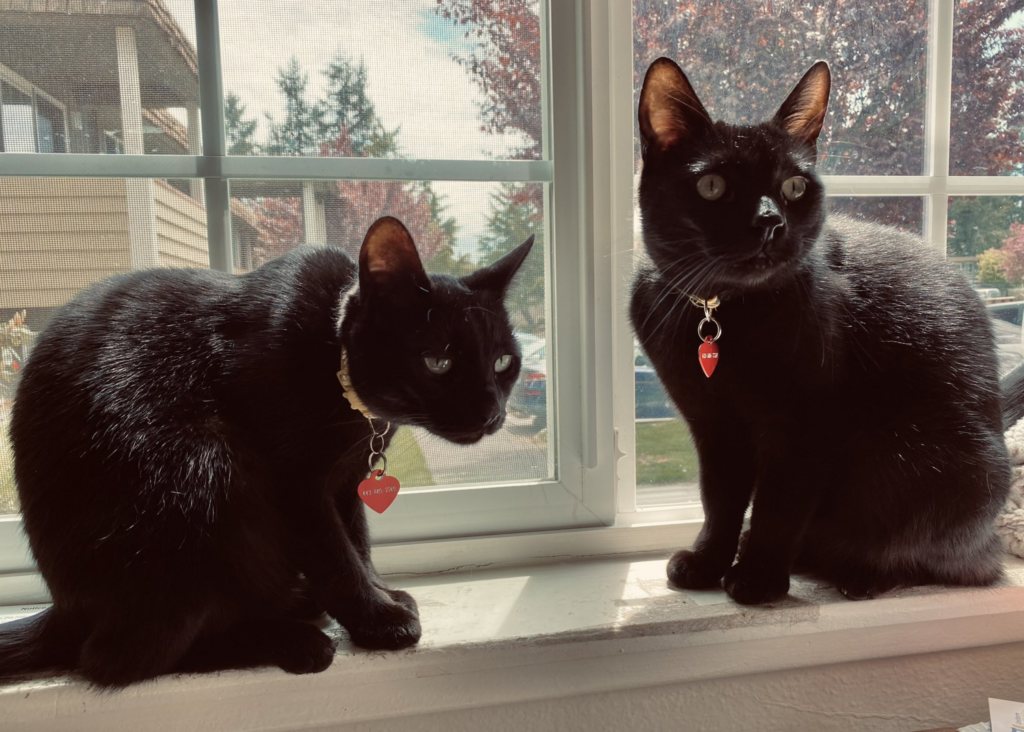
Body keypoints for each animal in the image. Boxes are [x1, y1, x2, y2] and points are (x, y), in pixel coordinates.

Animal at [2, 216, 536, 687]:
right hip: (205, 472)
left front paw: (380, 593)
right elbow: (334, 554)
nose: (491, 411)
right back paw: (292, 640)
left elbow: (357, 542)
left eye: (503, 362)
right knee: (121, 660)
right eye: (438, 362)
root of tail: (66, 610)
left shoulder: (346, 480)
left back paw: (298, 604)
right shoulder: (294, 483)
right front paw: (378, 620)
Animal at [626, 58, 1011, 606]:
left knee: (940, 557)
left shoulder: (806, 426)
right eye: (713, 186)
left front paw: (758, 577)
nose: (769, 221)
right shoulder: (713, 426)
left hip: (916, 459)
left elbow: (779, 504)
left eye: (794, 187)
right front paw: (708, 562)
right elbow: (719, 499)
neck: (722, 311)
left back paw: (861, 573)